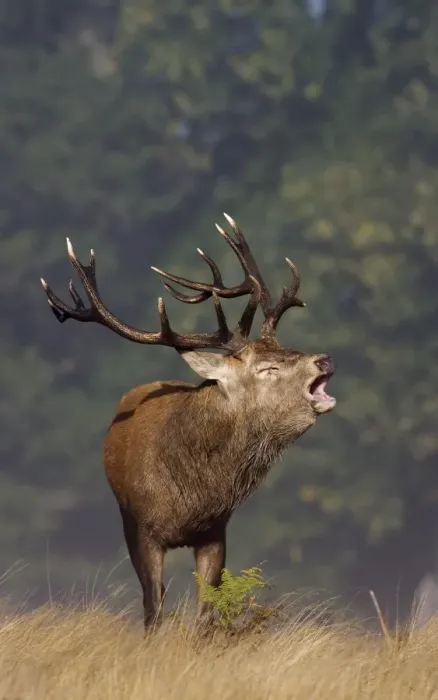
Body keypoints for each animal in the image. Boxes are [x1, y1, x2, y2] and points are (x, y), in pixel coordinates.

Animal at [40, 214, 336, 630]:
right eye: (268, 368)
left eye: (283, 348)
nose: (324, 359)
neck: (191, 495)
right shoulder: (143, 530)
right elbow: (153, 609)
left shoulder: (215, 530)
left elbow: (207, 614)